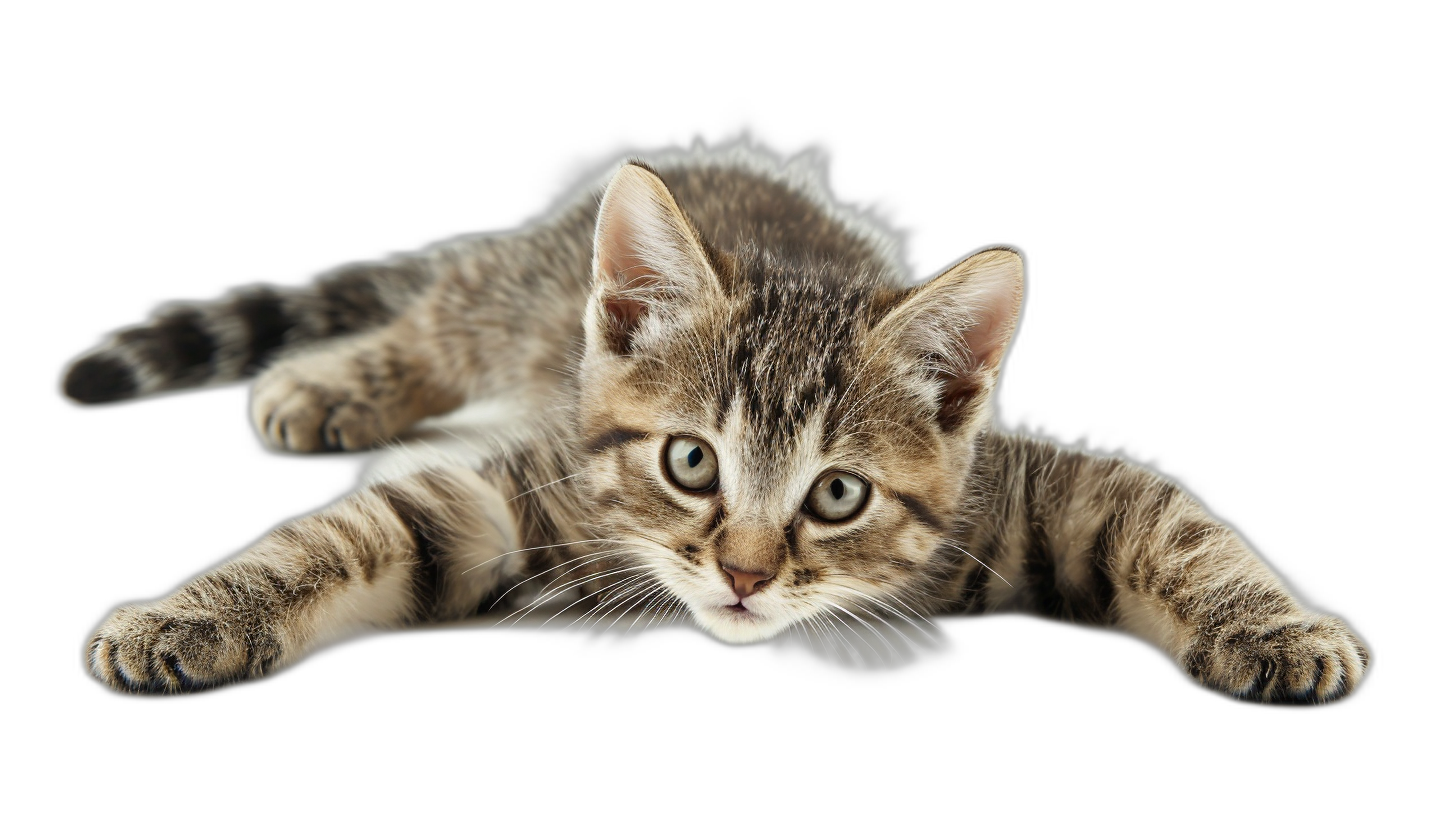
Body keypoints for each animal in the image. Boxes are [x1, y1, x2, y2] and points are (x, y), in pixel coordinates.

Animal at [59, 138, 1374, 702]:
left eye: (837, 493)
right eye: (690, 462)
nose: (742, 576)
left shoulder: (1013, 494)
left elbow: (1176, 520)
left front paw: (1277, 626)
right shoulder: (537, 493)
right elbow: (355, 531)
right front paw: (192, 612)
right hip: (505, 303)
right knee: (428, 320)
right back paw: (326, 384)